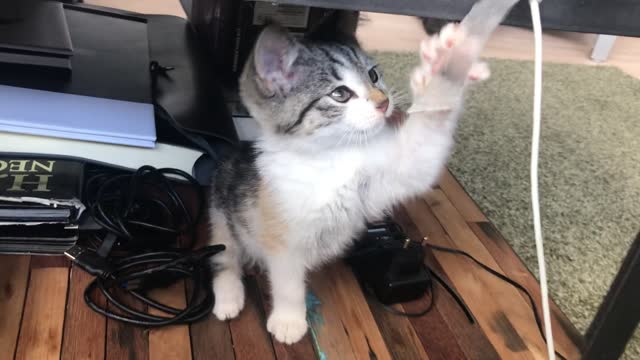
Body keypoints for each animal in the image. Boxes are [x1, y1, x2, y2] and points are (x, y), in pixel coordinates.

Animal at [210, 22, 490, 344]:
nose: (384, 102)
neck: (333, 156)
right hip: (221, 213)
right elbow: (288, 282)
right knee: (224, 256)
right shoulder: (281, 235)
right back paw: (229, 297)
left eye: (373, 75)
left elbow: (419, 156)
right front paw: (289, 321)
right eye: (340, 93)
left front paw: (446, 62)